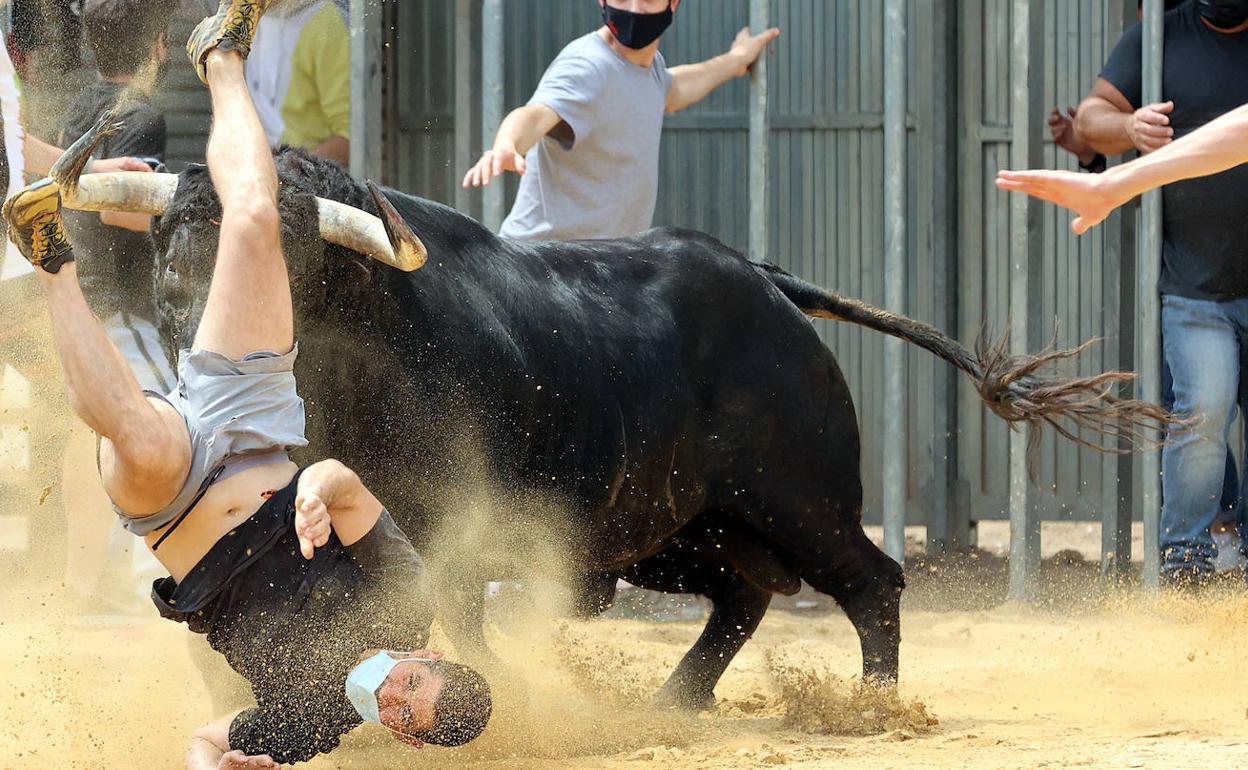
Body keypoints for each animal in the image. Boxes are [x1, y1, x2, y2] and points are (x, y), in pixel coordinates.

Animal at [148, 150, 1168, 708]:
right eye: (171, 254)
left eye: (281, 247)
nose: (205, 348)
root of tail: (765, 282)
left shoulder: (456, 528)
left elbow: (458, 619)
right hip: (677, 530)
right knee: (745, 595)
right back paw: (677, 699)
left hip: (800, 499)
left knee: (871, 581)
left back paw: (872, 705)